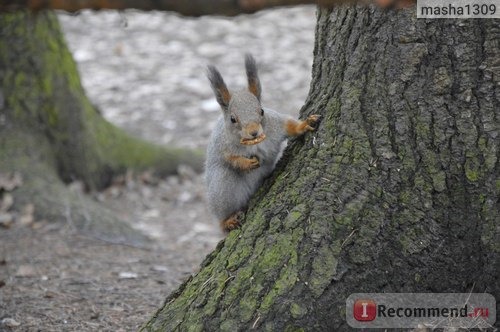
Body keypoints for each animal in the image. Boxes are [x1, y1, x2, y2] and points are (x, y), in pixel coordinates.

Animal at [204, 54, 318, 232]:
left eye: (262, 111)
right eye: (233, 119)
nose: (254, 132)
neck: (253, 143)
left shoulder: (276, 125)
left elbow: (290, 126)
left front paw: (305, 124)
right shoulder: (222, 146)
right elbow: (230, 159)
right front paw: (246, 163)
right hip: (222, 187)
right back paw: (228, 221)